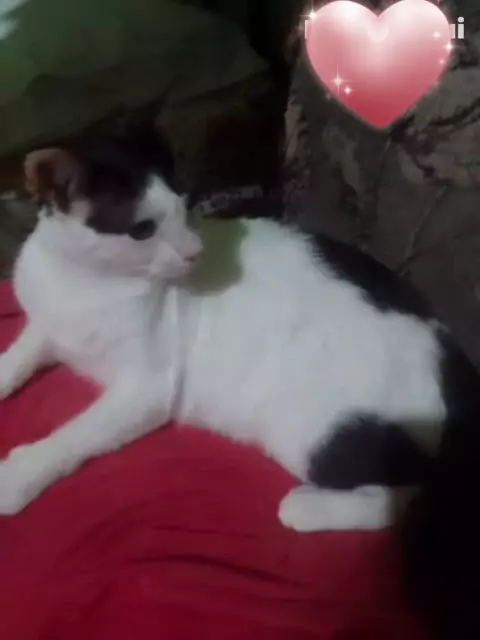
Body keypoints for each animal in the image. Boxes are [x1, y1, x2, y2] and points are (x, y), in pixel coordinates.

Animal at [0, 123, 477, 558]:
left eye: (186, 207)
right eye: (143, 230)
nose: (194, 252)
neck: (83, 285)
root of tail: (453, 355)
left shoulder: (147, 389)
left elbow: (77, 434)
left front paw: (21, 474)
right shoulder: (47, 327)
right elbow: (18, 357)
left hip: (312, 429)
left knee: (404, 494)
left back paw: (308, 508)